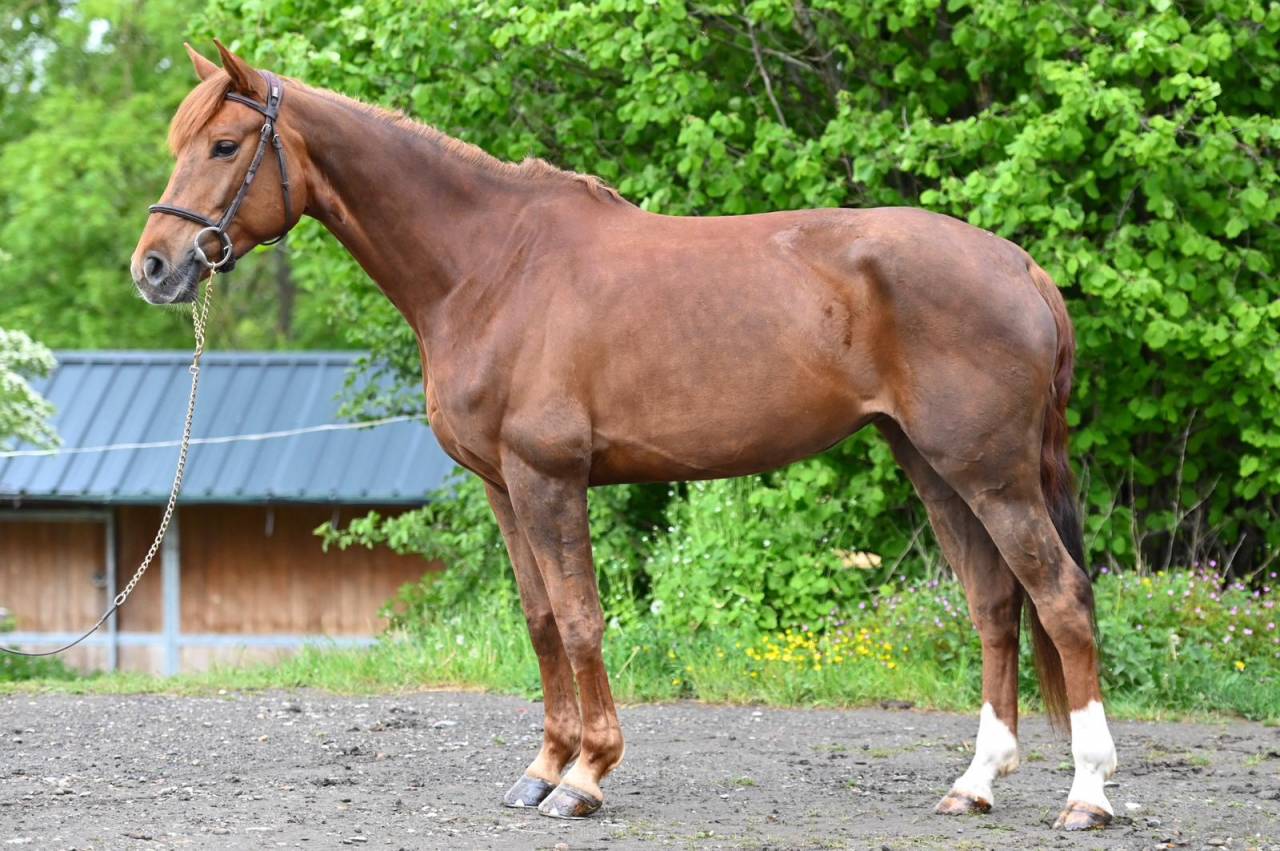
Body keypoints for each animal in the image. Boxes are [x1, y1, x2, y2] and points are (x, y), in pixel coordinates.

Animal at [130, 41, 1117, 830]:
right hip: (937, 467)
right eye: (180, 145)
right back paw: (976, 782)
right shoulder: (502, 485)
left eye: (225, 145)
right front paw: (542, 769)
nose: (154, 268)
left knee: (1062, 597)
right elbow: (539, 621)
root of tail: (1020, 266)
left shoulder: (549, 477)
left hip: (989, 474)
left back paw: (1088, 794)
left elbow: (580, 618)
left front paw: (586, 776)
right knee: (994, 604)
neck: (490, 266)